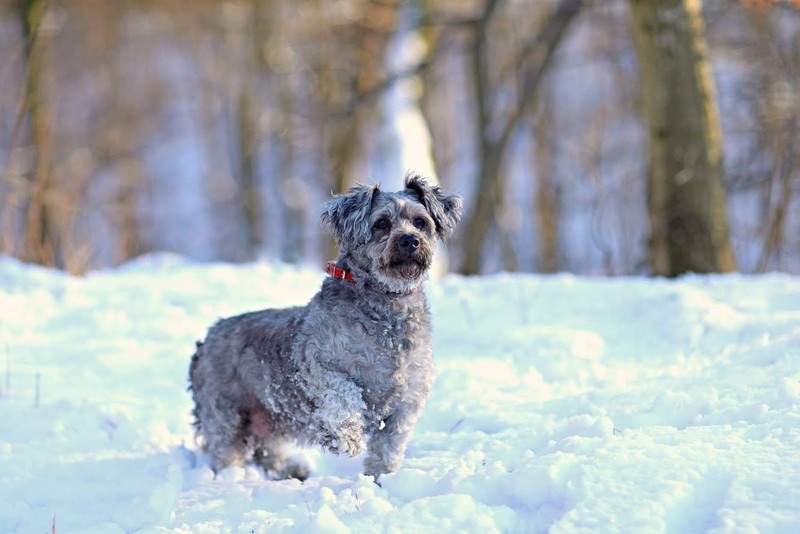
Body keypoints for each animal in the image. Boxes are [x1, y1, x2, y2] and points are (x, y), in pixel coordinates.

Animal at [188, 174, 462, 484]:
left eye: (420, 222)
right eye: (381, 223)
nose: (410, 240)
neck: (386, 304)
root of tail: (205, 341)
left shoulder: (408, 400)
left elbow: (389, 448)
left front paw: (381, 480)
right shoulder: (318, 363)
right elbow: (343, 394)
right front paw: (346, 439)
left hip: (270, 417)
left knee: (267, 451)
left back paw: (293, 470)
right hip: (224, 414)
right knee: (228, 450)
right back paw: (231, 479)